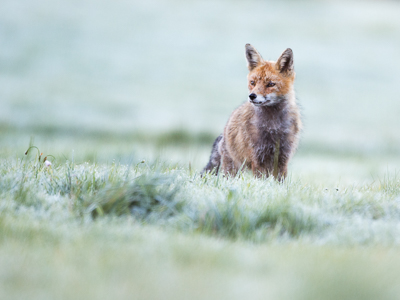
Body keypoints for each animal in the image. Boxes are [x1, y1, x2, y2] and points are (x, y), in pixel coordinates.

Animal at [202, 43, 302, 179]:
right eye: (252, 83)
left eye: (271, 84)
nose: (252, 96)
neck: (273, 126)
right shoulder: (257, 156)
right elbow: (260, 180)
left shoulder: (283, 157)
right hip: (233, 169)